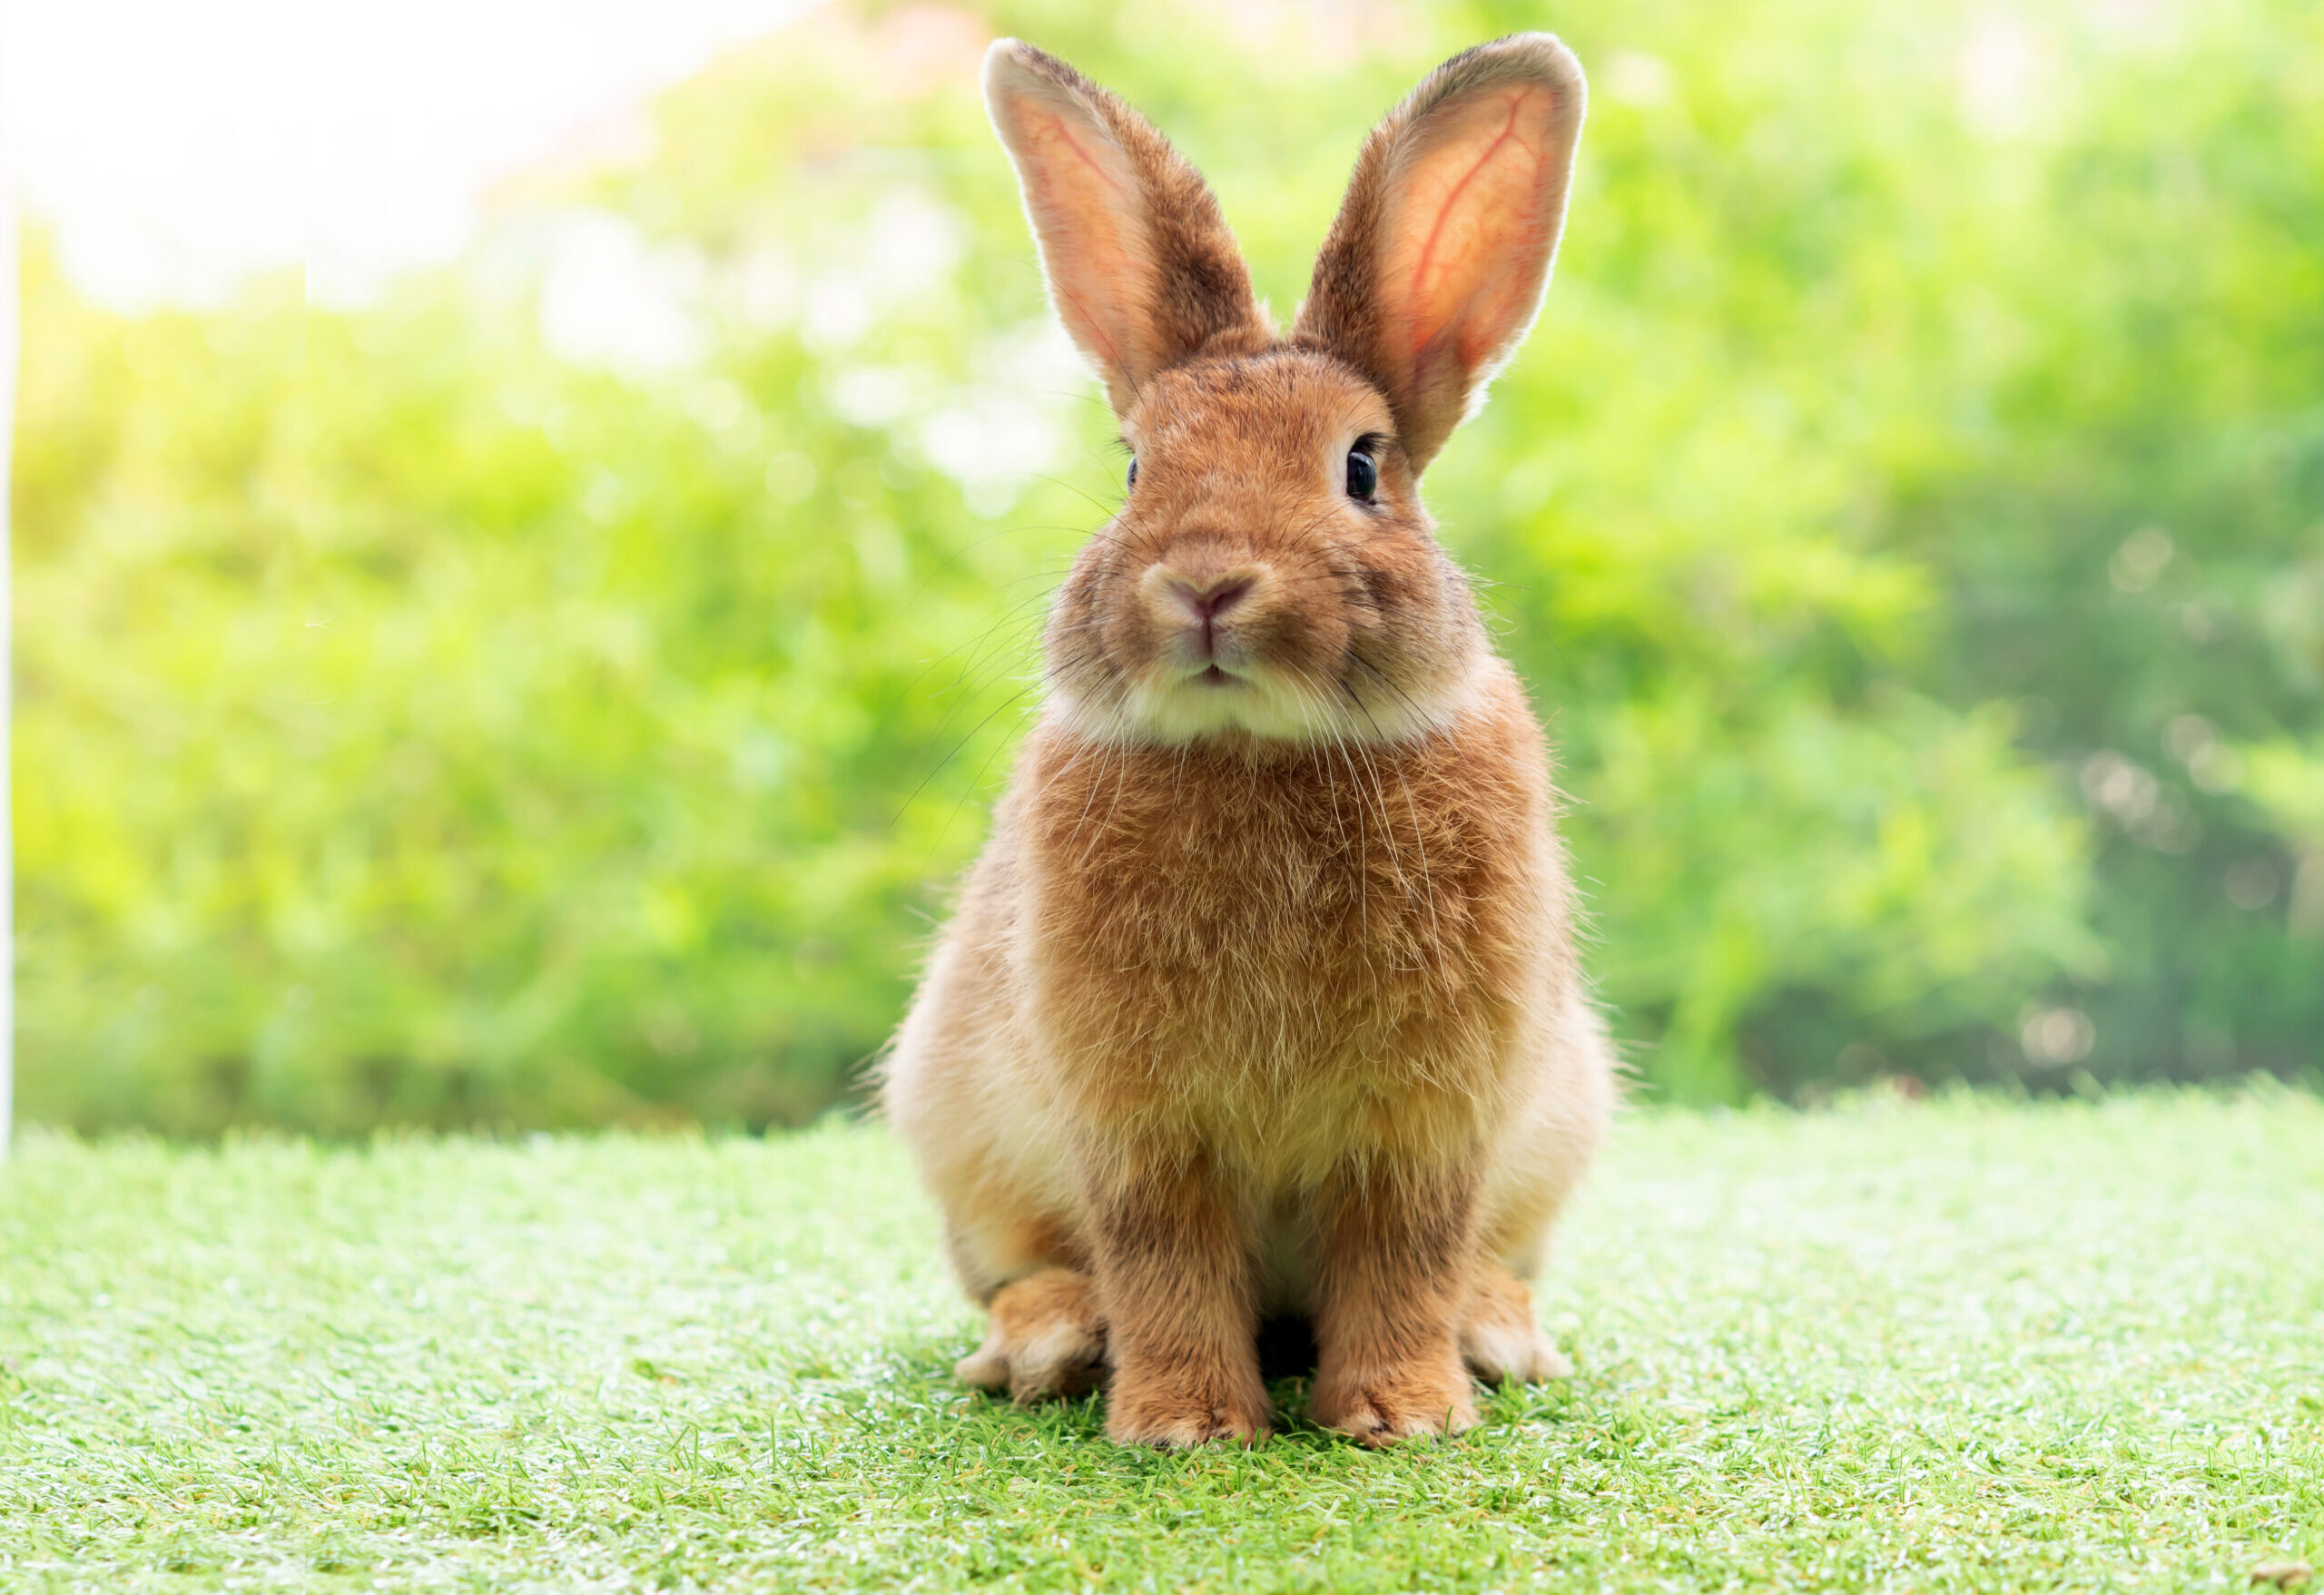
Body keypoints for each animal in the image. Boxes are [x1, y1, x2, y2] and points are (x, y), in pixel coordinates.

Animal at [879, 32, 1616, 1448]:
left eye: (1363, 467)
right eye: (1132, 469)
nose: (1208, 581)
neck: (1260, 750)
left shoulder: (1428, 1121)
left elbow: (1403, 1255)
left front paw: (1402, 1414)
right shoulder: (1137, 1125)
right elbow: (1161, 1256)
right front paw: (1184, 1427)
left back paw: (1499, 1333)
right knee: (1025, 1270)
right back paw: (1050, 1342)